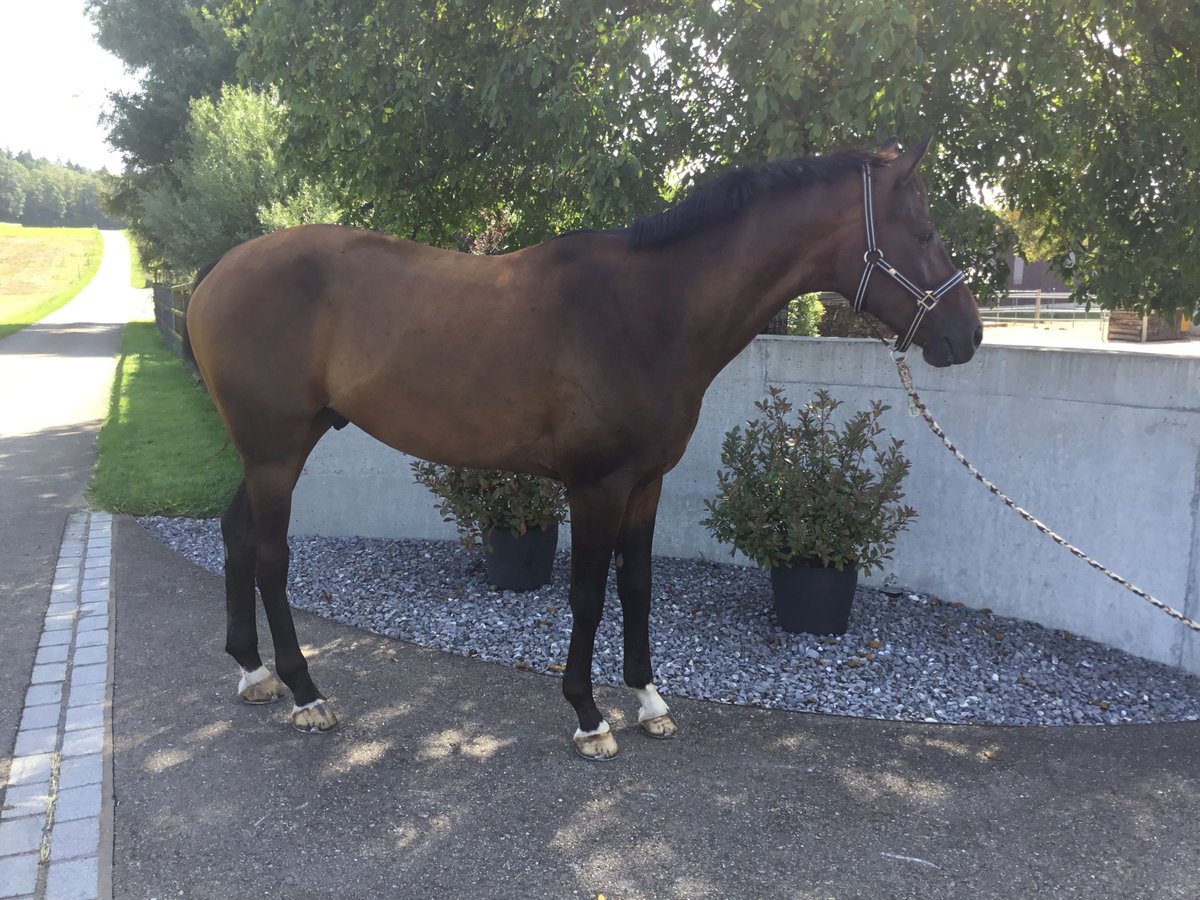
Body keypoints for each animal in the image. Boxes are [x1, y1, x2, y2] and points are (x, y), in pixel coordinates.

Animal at [184, 139, 974, 763]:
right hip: (277, 452)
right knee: (271, 557)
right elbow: (589, 594)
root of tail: (219, 270)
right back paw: (305, 693)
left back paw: (253, 673)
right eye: (923, 228)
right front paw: (590, 717)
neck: (648, 307)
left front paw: (650, 701)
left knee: (235, 532)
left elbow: (637, 586)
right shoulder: (596, 485)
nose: (965, 335)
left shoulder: (646, 483)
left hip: (274, 449)